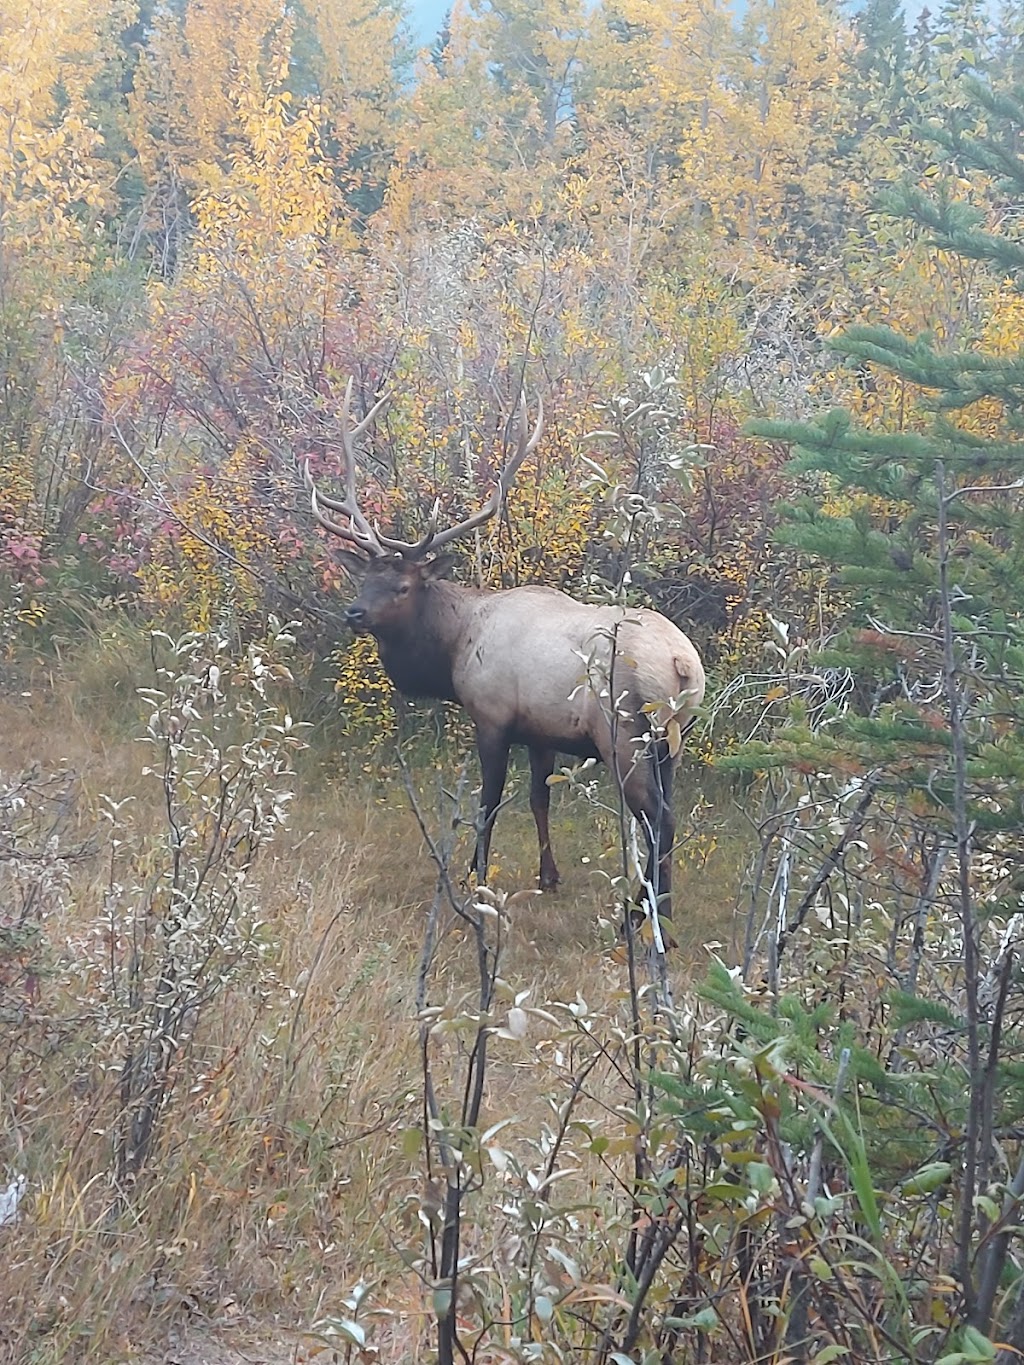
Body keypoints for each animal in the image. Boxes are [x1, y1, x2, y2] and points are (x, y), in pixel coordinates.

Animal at [304, 382, 704, 928]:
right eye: (364, 578)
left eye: (403, 586)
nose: (355, 613)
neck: (455, 647)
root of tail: (684, 667)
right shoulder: (540, 731)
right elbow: (540, 798)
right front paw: (548, 876)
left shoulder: (492, 717)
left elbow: (488, 804)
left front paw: (474, 878)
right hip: (671, 744)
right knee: (669, 812)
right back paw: (660, 910)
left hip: (625, 734)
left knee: (656, 816)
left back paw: (641, 916)